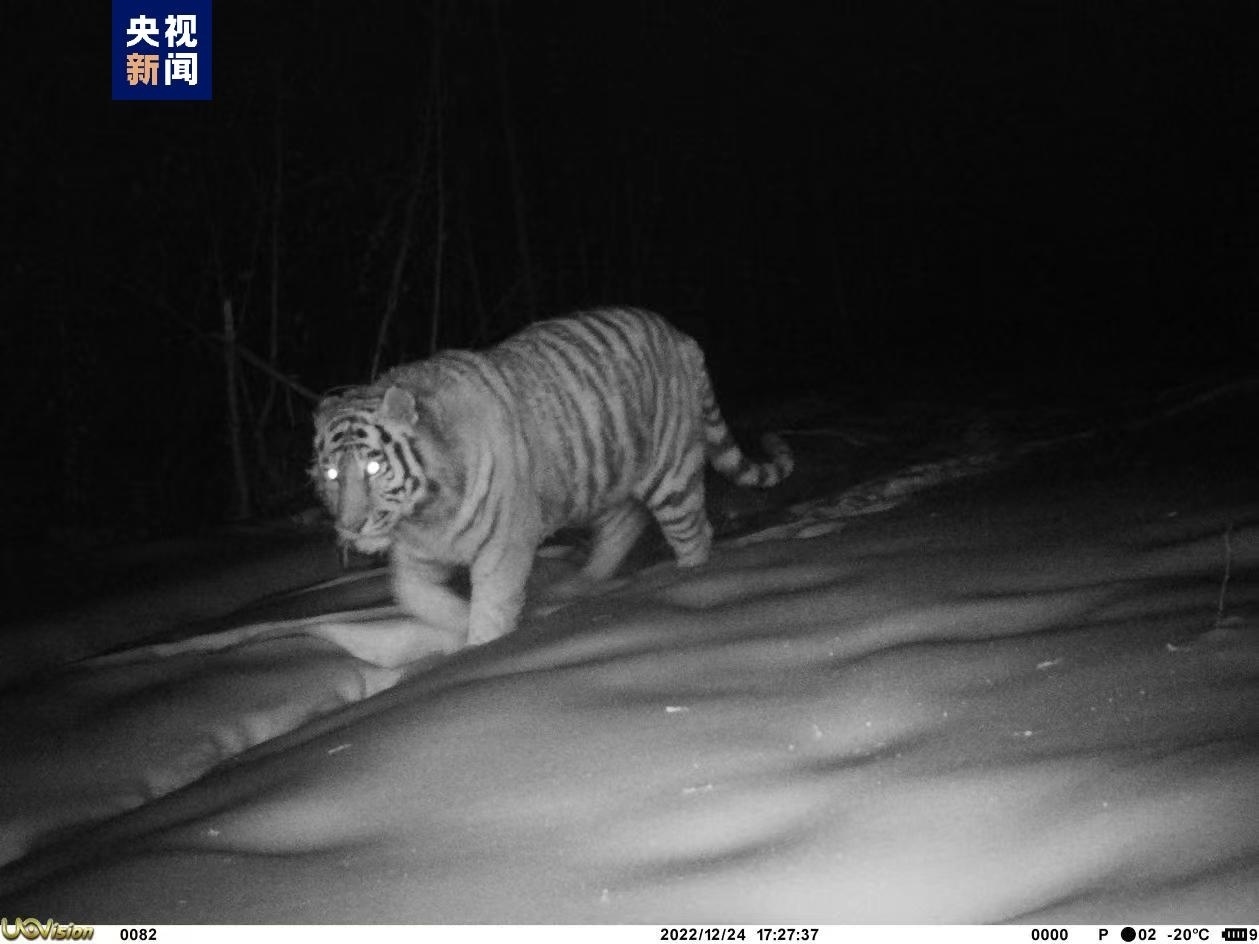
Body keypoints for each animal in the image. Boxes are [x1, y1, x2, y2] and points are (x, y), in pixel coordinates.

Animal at [312, 306, 794, 652]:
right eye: (332, 472)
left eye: (373, 468)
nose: (350, 527)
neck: (425, 514)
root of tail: (677, 334)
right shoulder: (417, 553)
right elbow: (411, 594)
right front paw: (455, 633)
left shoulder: (501, 547)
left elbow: (492, 607)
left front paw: (481, 650)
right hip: (605, 475)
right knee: (623, 525)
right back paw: (579, 585)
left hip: (670, 476)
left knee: (694, 534)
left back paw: (688, 581)